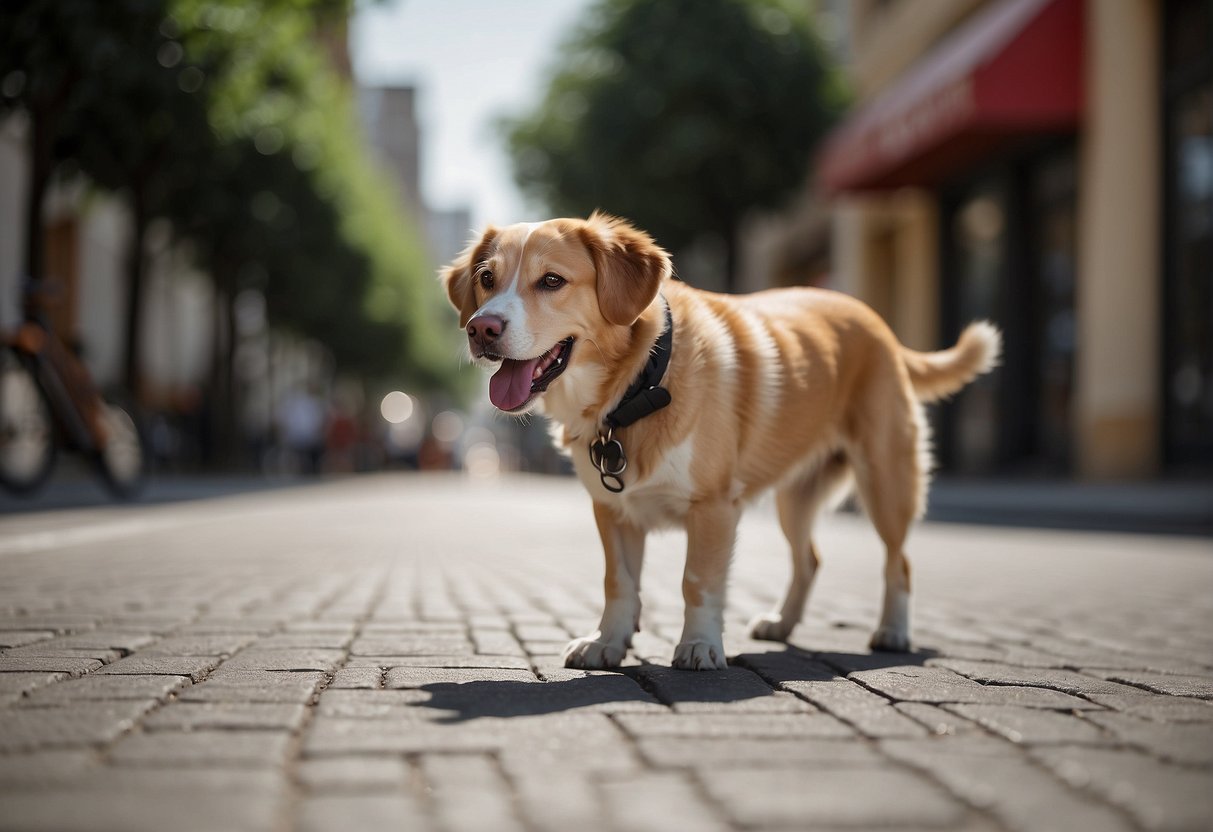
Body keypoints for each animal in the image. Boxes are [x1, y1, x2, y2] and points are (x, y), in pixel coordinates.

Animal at [441, 213, 999, 669]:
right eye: (487, 279)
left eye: (552, 281)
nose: (481, 328)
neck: (640, 384)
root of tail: (880, 326)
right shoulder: (612, 511)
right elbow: (619, 583)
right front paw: (608, 642)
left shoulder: (713, 508)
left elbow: (698, 582)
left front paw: (699, 645)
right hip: (794, 499)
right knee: (809, 559)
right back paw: (782, 623)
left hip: (886, 481)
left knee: (899, 561)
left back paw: (893, 631)